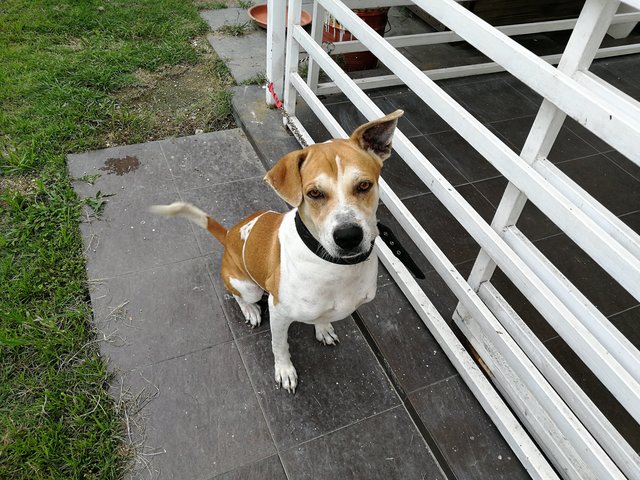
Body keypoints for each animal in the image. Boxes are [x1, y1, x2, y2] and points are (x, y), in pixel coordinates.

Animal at [151, 109, 402, 394]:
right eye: (314, 193)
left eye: (364, 186)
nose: (348, 236)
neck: (333, 266)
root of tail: (229, 235)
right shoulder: (278, 311)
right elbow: (279, 346)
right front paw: (284, 371)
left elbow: (321, 317)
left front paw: (323, 327)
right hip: (248, 287)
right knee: (238, 296)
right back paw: (250, 310)